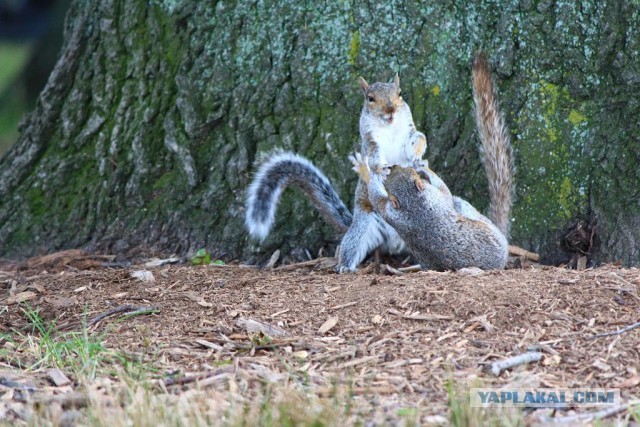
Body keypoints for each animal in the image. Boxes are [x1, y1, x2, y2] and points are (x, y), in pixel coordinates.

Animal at [245, 73, 430, 270]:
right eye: (370, 98)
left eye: (400, 93)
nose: (391, 110)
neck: (388, 126)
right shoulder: (370, 142)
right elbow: (372, 158)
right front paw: (380, 171)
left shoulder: (408, 130)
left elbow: (419, 137)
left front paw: (417, 156)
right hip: (363, 227)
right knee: (351, 246)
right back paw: (344, 266)